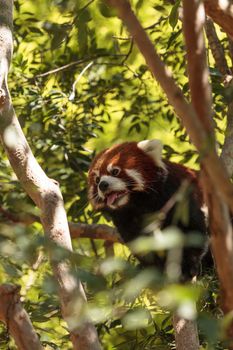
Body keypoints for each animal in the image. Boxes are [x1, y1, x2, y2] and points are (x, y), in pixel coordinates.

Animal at [88, 139, 210, 278]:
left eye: (115, 171)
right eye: (97, 180)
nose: (102, 185)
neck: (137, 203)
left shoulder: (177, 192)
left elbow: (191, 228)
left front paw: (189, 265)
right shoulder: (126, 220)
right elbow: (142, 244)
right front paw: (154, 268)